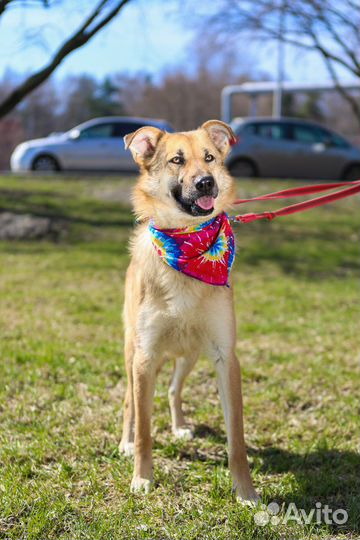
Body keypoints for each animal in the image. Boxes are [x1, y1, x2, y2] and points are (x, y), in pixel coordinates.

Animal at [119, 119, 258, 502]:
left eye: (209, 158)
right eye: (176, 160)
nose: (206, 182)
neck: (187, 239)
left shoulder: (225, 355)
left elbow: (237, 438)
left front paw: (245, 492)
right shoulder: (145, 356)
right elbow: (146, 430)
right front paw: (142, 479)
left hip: (191, 352)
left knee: (173, 389)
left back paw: (179, 425)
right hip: (131, 350)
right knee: (129, 402)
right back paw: (125, 441)